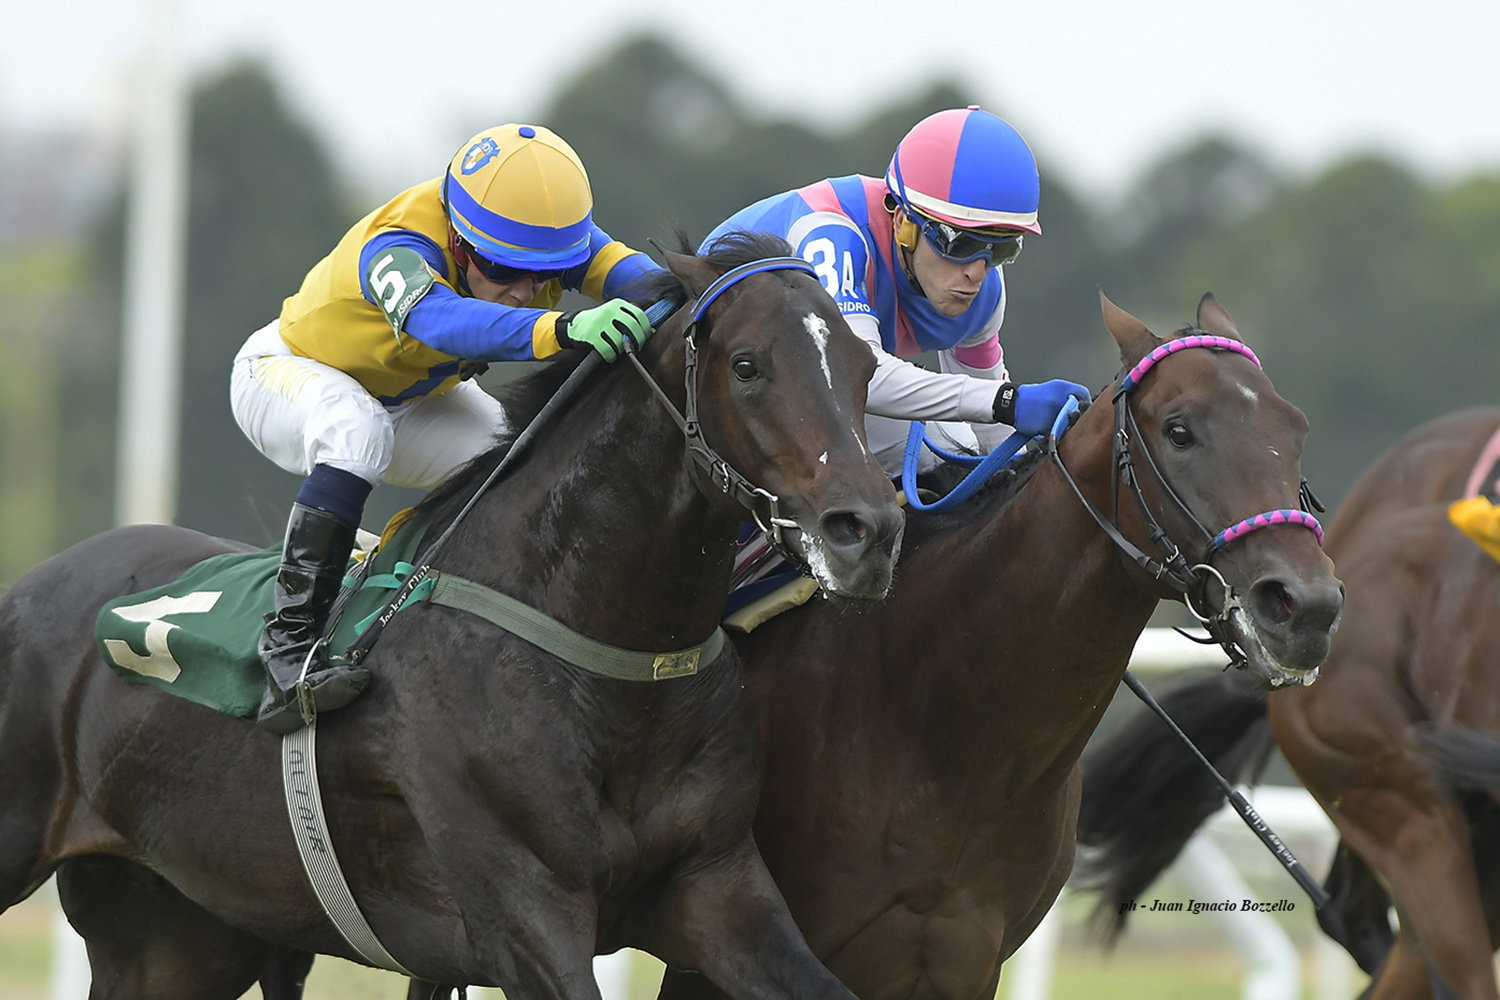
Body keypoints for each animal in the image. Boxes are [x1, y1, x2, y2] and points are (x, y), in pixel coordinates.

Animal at [0, 232, 907, 1000]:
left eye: (865, 364)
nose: (867, 531)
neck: (603, 649)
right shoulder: (525, 910)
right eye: (749, 366)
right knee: (351, 437)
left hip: (174, 924)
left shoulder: (715, 884)